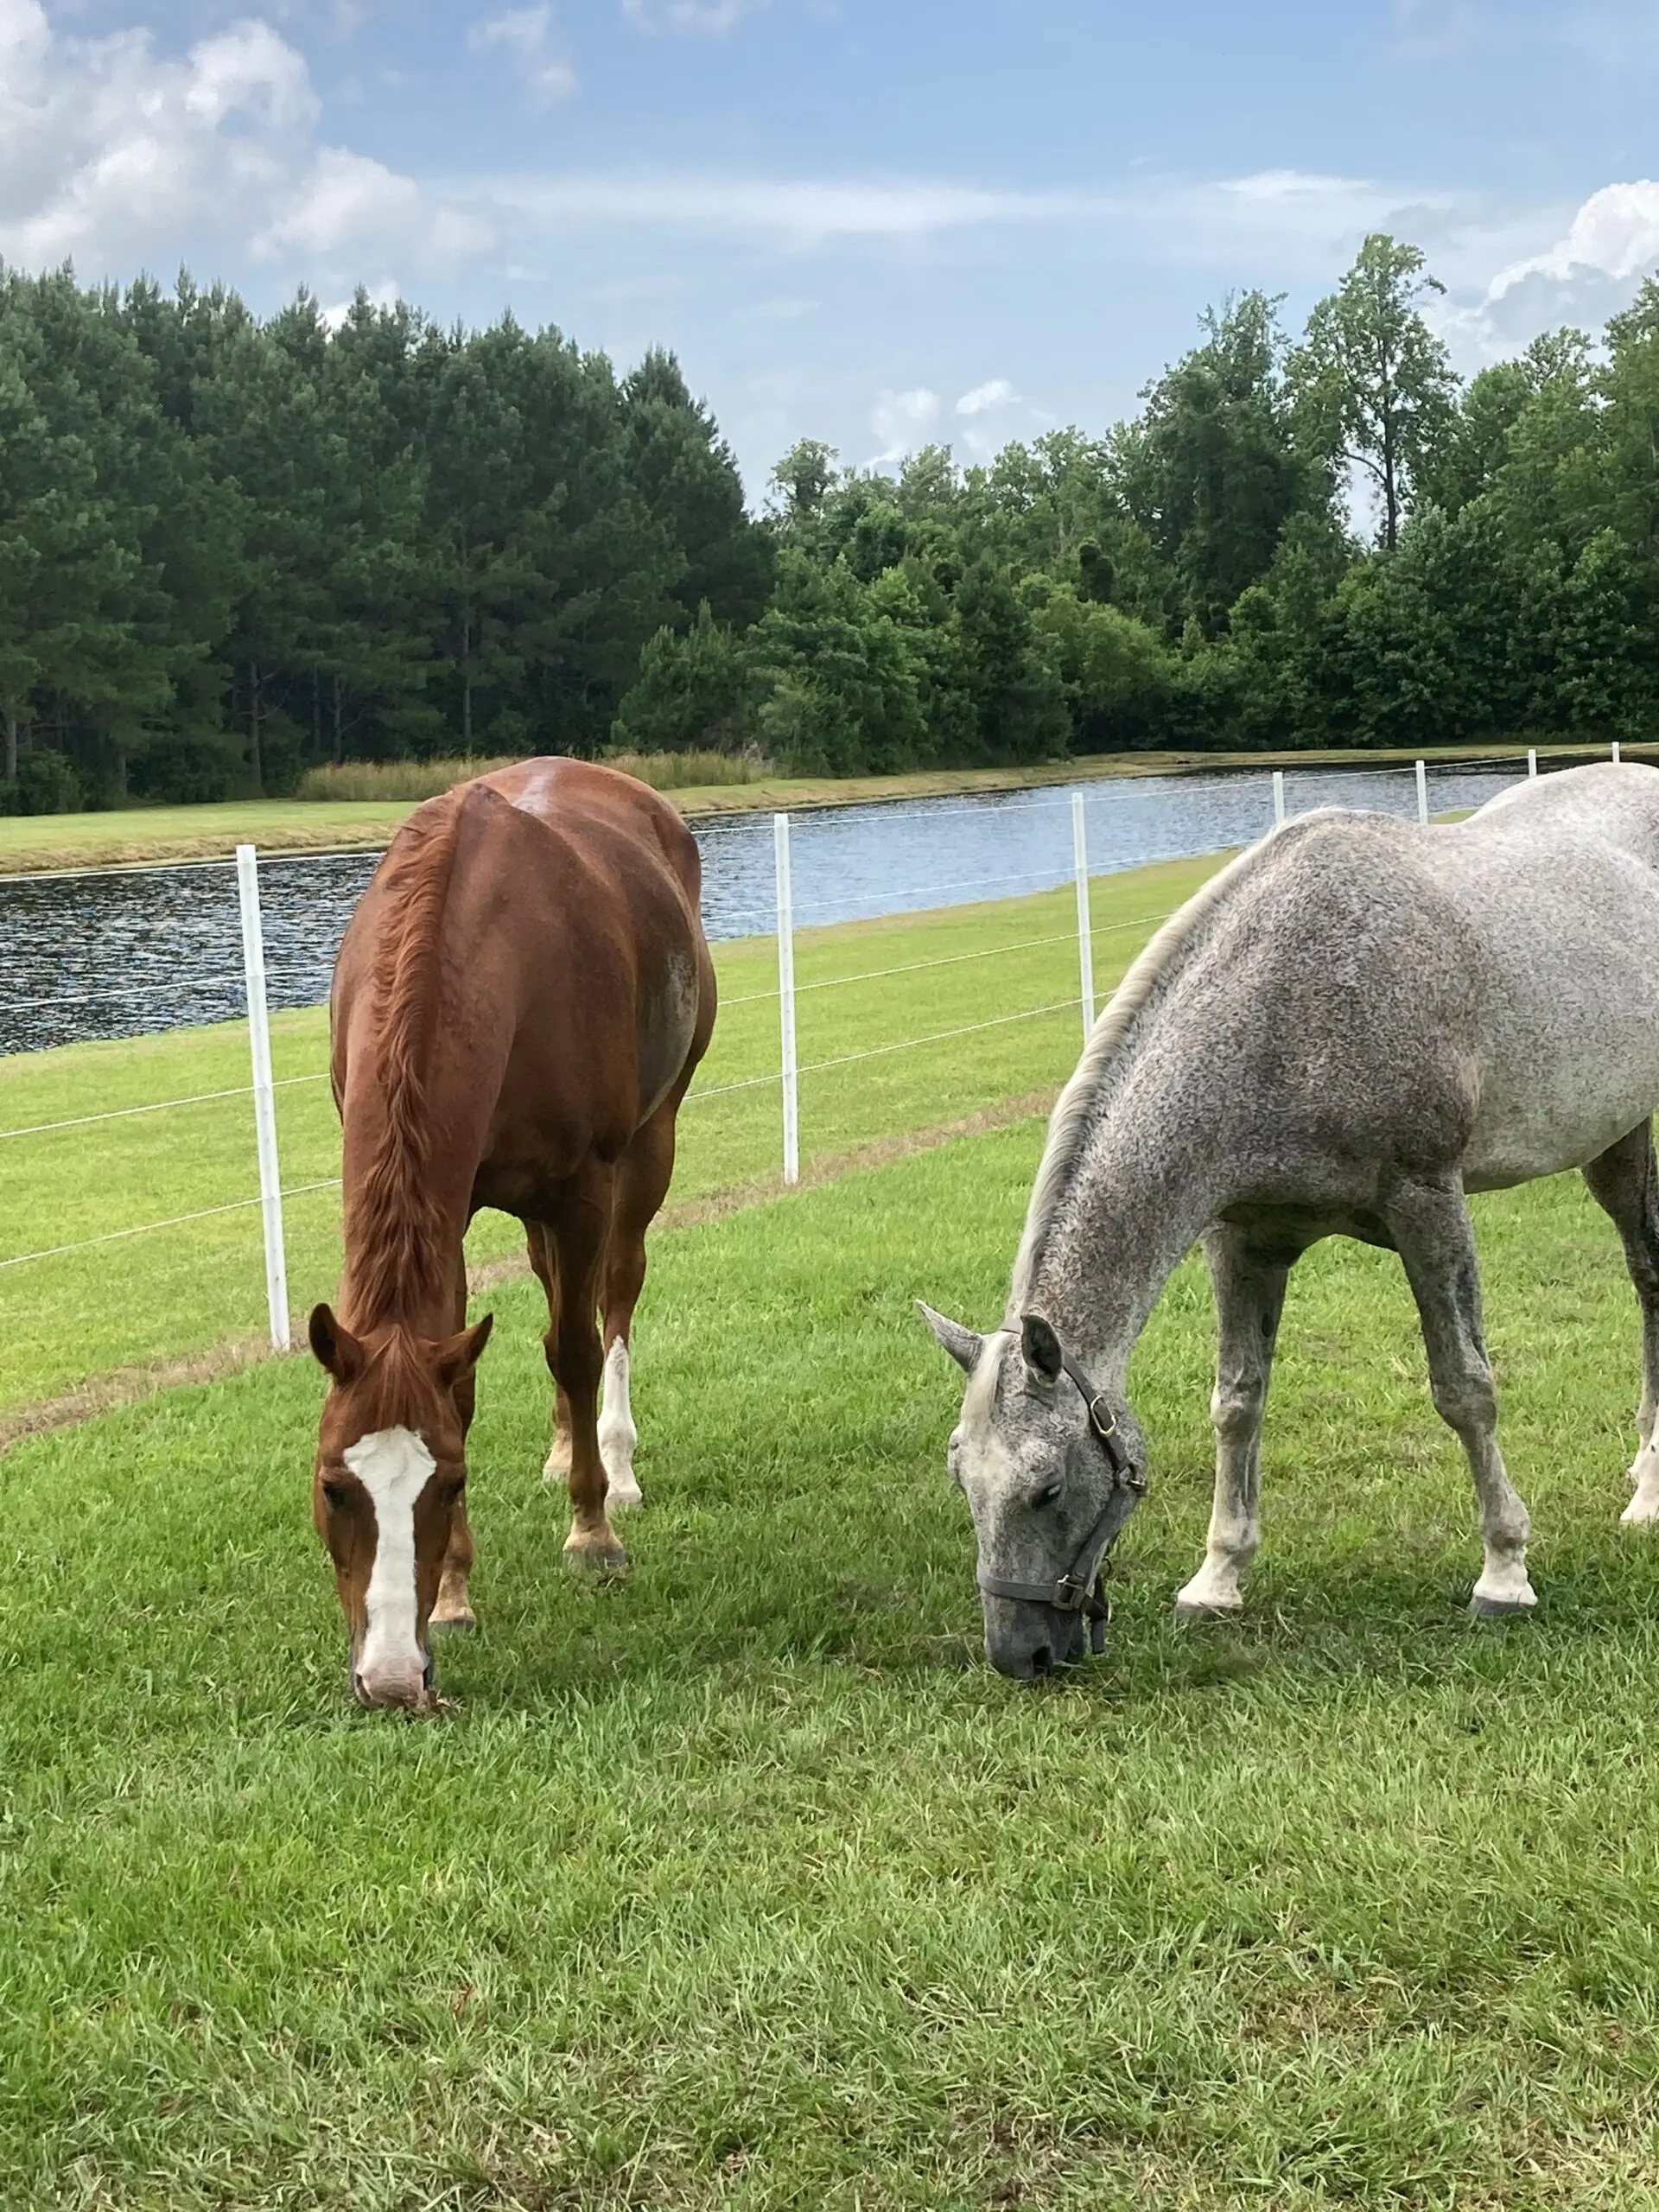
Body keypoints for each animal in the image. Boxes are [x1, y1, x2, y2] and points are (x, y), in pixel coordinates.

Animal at [309, 760, 716, 1707]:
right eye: (334, 1486)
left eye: (450, 1480)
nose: (393, 1679)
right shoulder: (452, 1210)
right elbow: (466, 1379)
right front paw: (457, 1593)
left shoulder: (584, 1189)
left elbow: (576, 1348)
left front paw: (592, 1534)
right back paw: (565, 1448)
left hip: (647, 1151)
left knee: (612, 1300)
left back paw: (614, 1465)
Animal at [925, 765, 1659, 1672]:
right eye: (963, 1480)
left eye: (1047, 1486)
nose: (1019, 1655)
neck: (1291, 1008)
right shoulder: (1243, 1240)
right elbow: (1238, 1401)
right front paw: (1217, 1579)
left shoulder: (1427, 1204)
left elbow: (1466, 1389)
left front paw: (1505, 1571)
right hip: (1616, 1133)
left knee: (1649, 1278)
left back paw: (1651, 1490)